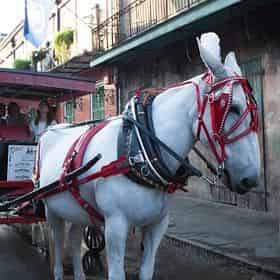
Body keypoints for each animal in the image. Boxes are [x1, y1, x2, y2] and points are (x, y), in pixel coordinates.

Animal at [38, 34, 260, 280]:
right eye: (233, 108)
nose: (250, 179)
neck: (139, 151)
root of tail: (52, 128)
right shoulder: (115, 225)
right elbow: (116, 273)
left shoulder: (157, 224)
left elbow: (146, 270)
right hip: (51, 210)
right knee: (58, 244)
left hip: (76, 210)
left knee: (75, 239)